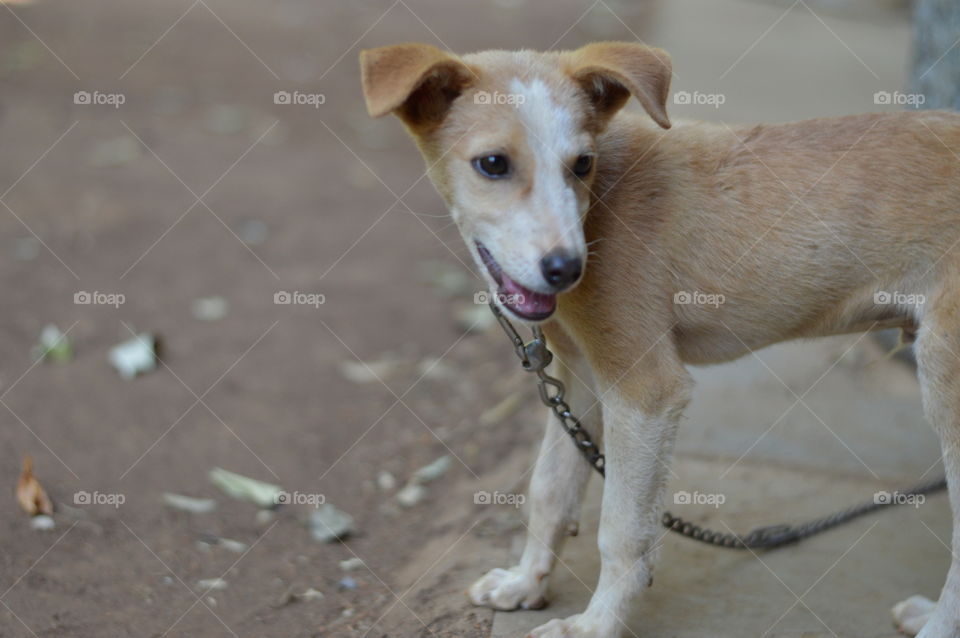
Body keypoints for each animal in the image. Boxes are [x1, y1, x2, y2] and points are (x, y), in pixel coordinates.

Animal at [358, 42, 960, 636]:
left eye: (582, 164)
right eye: (492, 164)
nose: (567, 269)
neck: (600, 206)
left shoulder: (645, 392)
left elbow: (621, 530)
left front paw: (594, 626)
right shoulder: (581, 380)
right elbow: (549, 491)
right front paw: (526, 584)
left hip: (946, 381)